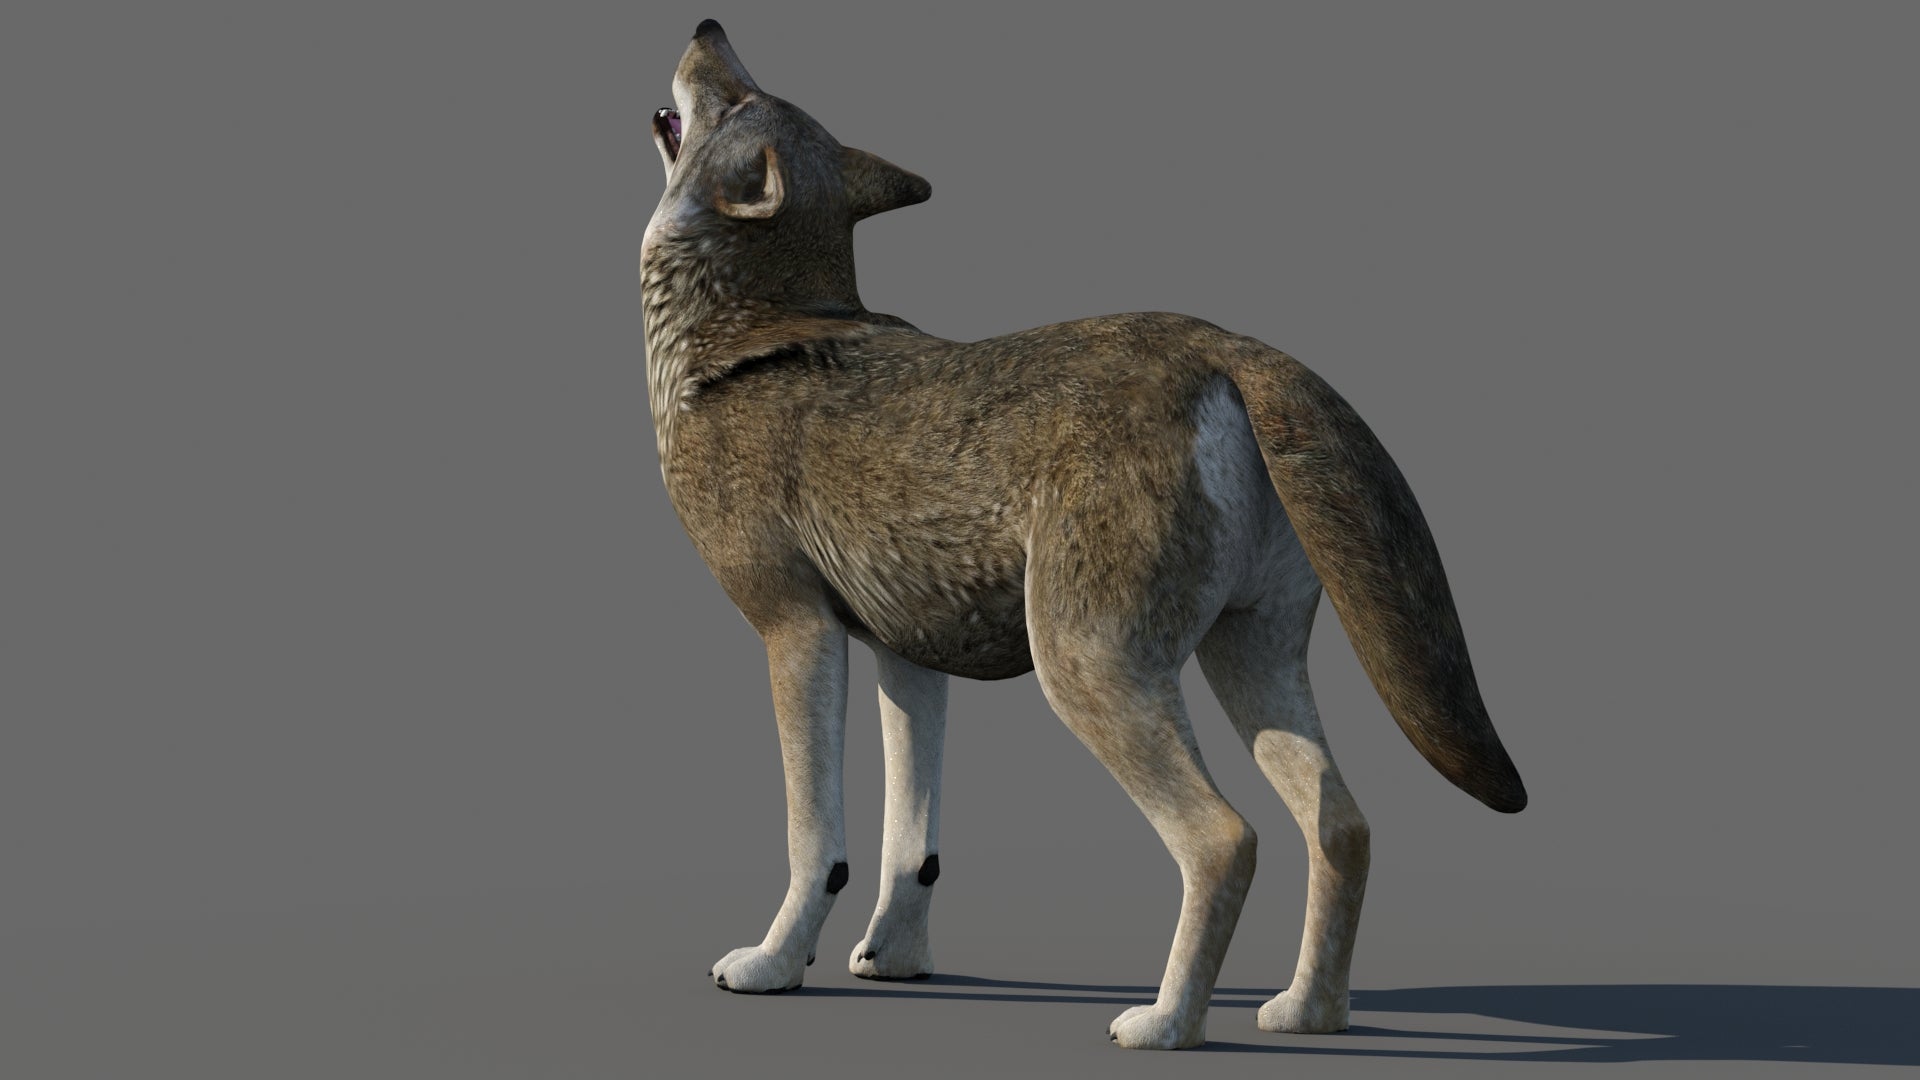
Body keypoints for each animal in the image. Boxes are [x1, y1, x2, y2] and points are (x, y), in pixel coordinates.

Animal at [641, 20, 1527, 1050]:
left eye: (736, 98)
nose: (707, 27)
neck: (738, 332)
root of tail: (1231, 347)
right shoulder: (910, 656)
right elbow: (912, 848)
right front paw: (897, 963)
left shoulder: (794, 633)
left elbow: (815, 841)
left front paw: (774, 966)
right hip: (1242, 664)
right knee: (1341, 827)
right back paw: (1309, 1015)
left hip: (1086, 669)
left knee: (1226, 839)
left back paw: (1166, 1024)